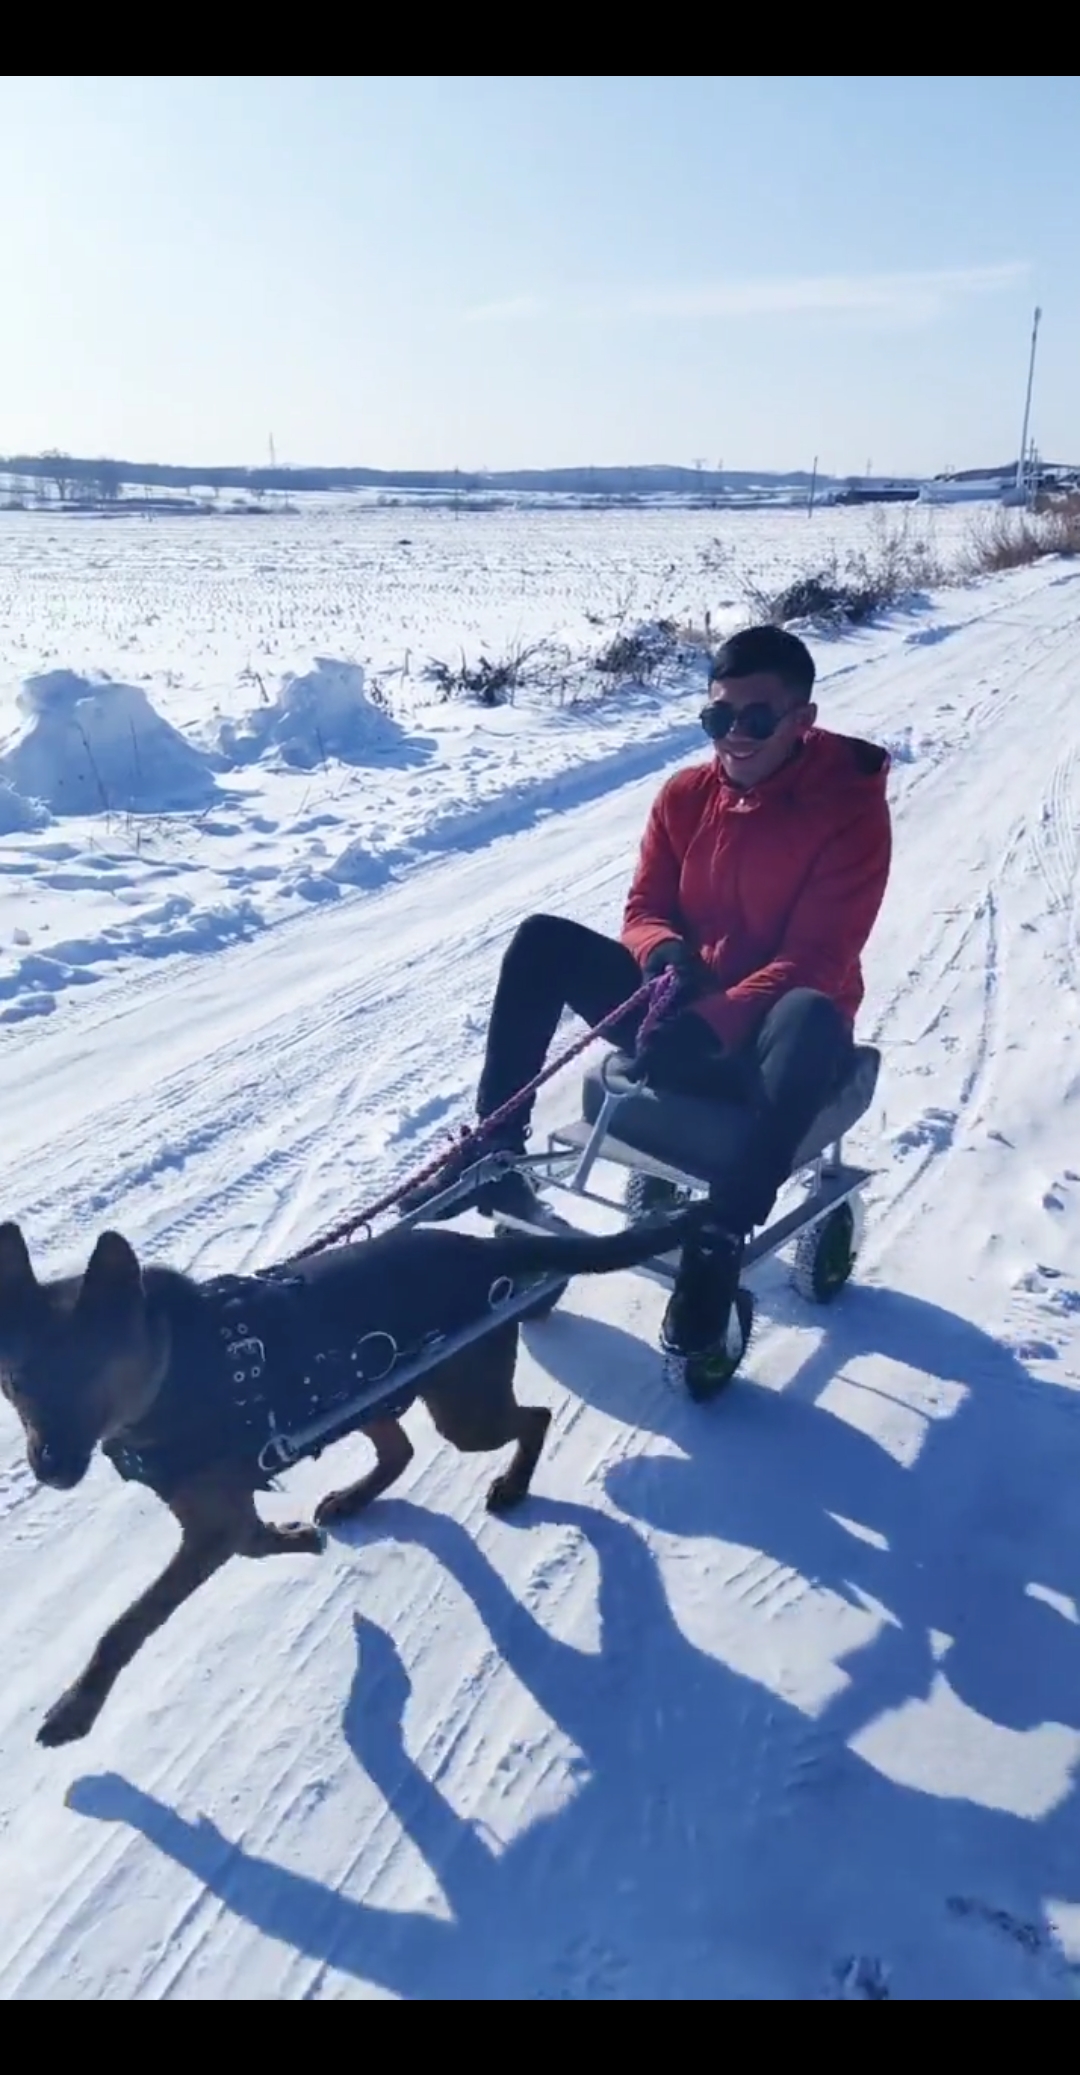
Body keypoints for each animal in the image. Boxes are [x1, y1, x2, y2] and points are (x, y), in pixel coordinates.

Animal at [0, 1203, 693, 1751]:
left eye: (93, 1371)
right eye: (19, 1383)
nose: (50, 1466)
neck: (170, 1369)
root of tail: (482, 1246)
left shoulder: (211, 1527)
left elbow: (129, 1624)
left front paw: (77, 1705)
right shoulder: (215, 1519)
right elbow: (252, 1542)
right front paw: (295, 1539)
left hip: (463, 1410)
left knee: (534, 1417)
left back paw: (515, 1484)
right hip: (366, 1386)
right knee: (400, 1450)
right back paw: (355, 1499)